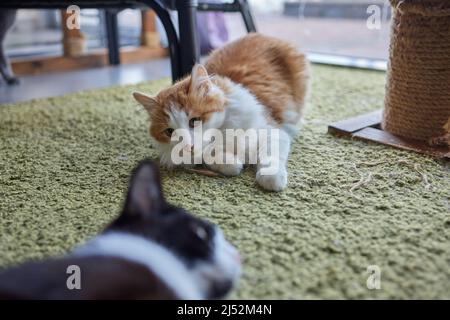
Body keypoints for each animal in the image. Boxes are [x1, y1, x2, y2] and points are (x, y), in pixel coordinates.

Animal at [134, 34, 310, 191]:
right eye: (170, 131)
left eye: (194, 121)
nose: (189, 146)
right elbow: (208, 154)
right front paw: (232, 164)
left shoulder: (272, 130)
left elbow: (270, 155)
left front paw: (271, 178)